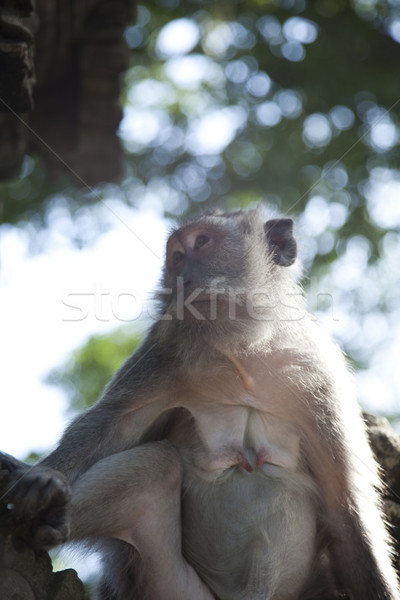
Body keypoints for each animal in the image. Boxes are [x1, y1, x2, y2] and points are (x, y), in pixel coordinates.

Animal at [0, 206, 400, 600]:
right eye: (176, 256)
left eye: (203, 242)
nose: (182, 278)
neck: (243, 356)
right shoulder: (165, 351)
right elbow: (110, 425)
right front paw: (43, 475)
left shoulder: (320, 377)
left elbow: (345, 505)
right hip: (167, 587)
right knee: (155, 464)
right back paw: (48, 516)